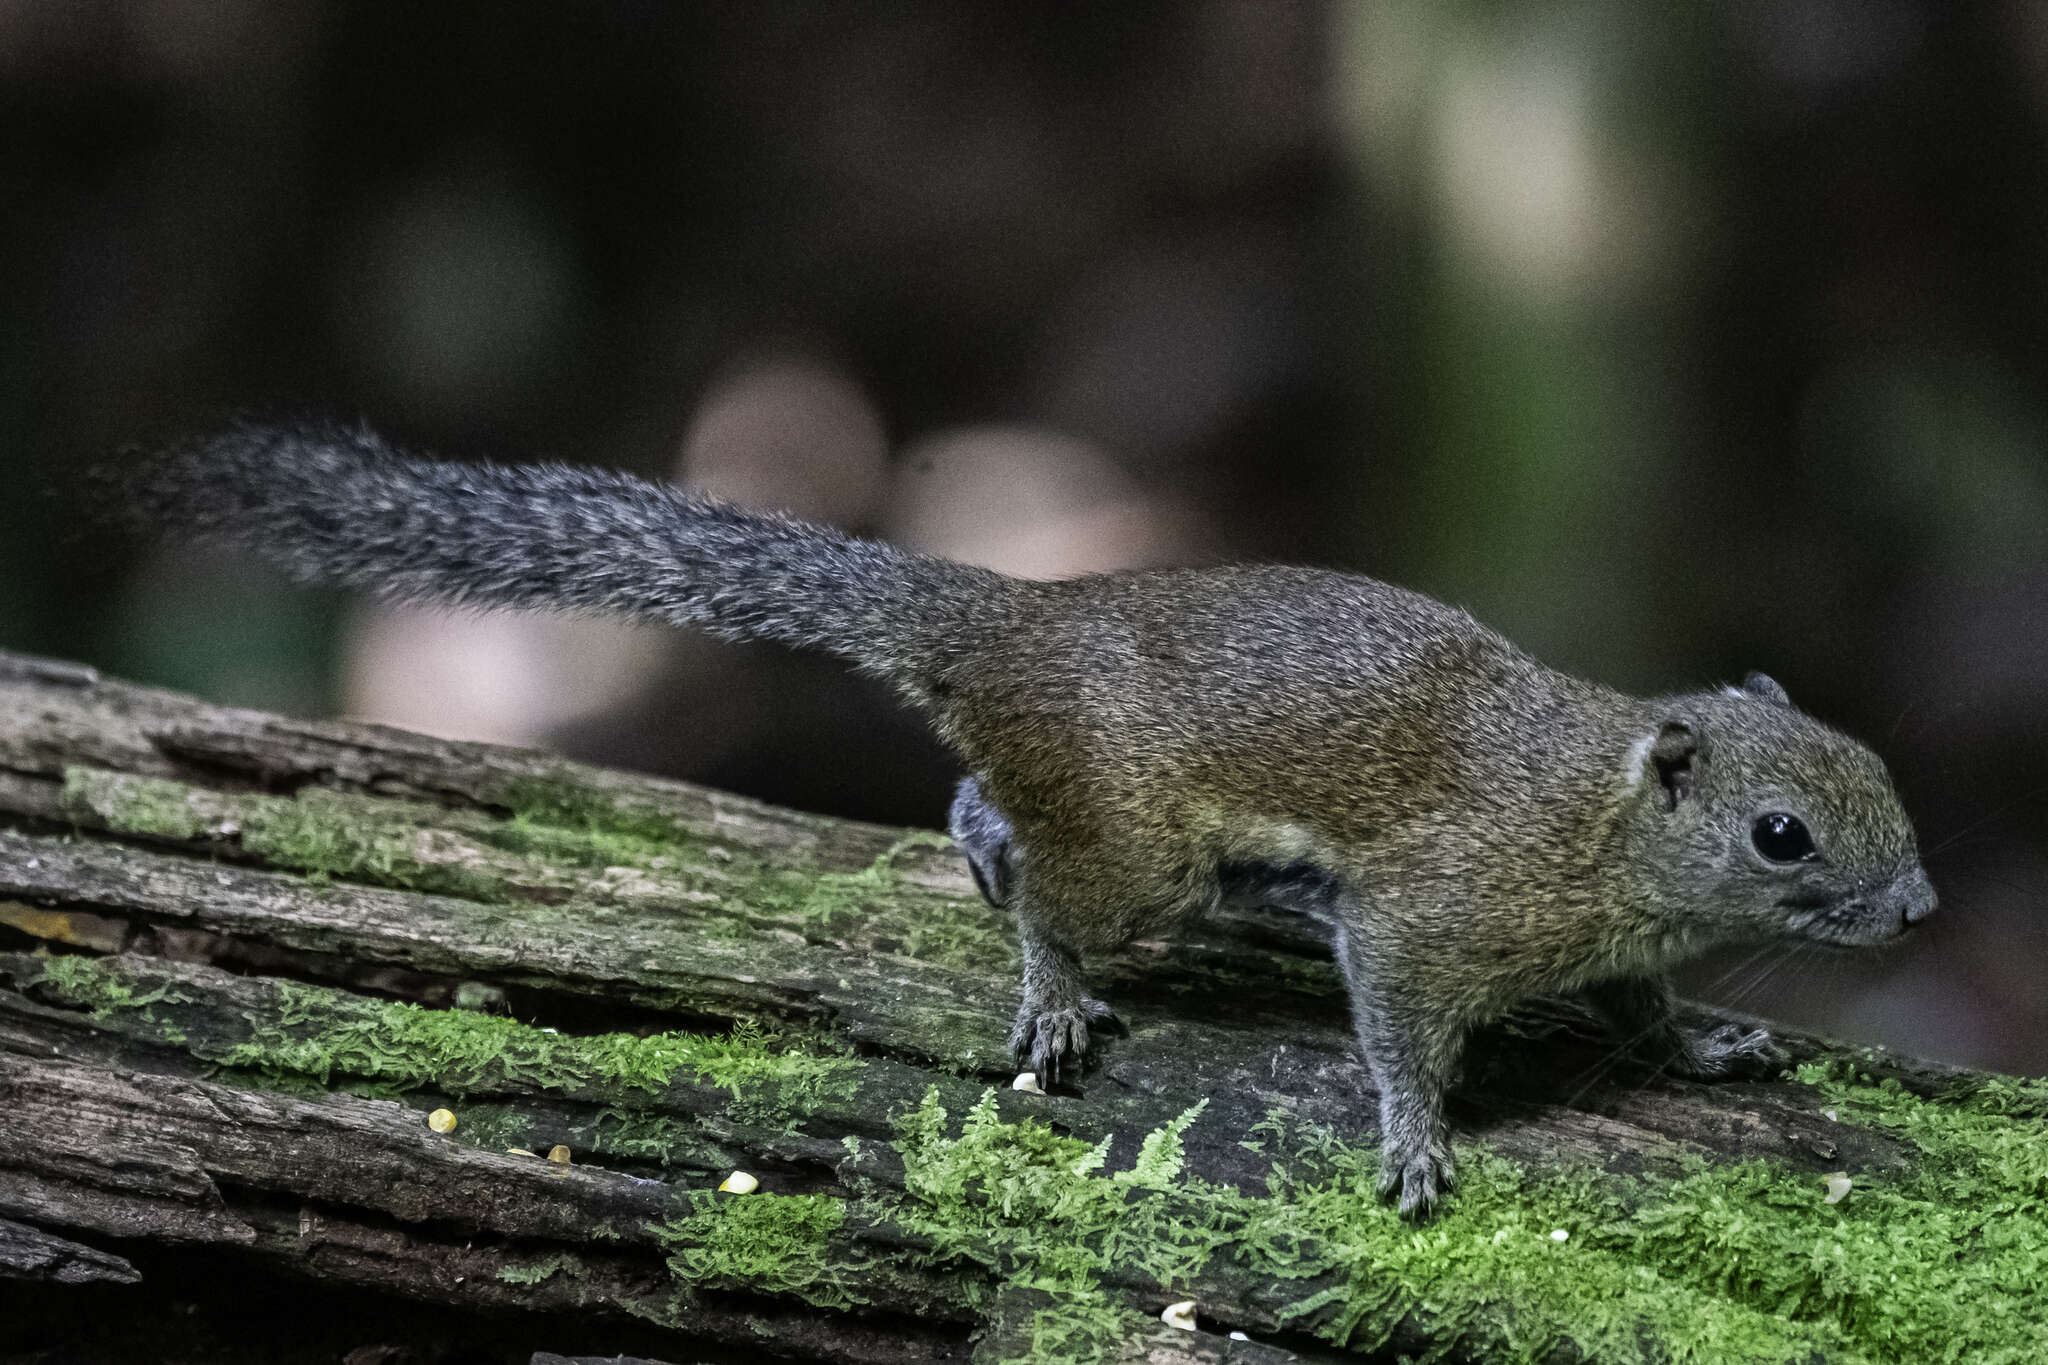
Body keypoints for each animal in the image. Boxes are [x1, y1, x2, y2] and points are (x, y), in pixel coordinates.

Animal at [128, 419, 1933, 1219]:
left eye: (1880, 772)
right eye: (1782, 835)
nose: (1918, 912)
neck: (1599, 820)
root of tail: (1002, 623)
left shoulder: (1606, 941)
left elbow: (1645, 1007)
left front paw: (1709, 1045)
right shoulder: (1437, 912)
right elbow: (1400, 1020)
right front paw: (1416, 1143)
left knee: (977, 811)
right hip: (1140, 855)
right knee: (1028, 869)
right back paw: (1052, 993)